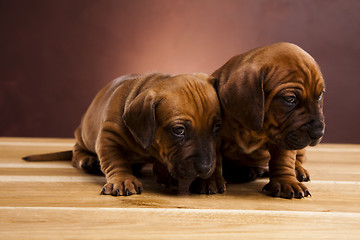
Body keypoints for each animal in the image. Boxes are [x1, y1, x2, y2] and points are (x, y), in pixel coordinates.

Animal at [23, 72, 225, 195]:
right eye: (178, 130)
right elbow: (114, 160)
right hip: (83, 135)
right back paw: (87, 160)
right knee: (76, 152)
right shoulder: (108, 137)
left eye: (217, 128)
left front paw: (211, 178)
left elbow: (217, 156)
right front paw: (122, 180)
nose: (205, 168)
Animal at [212, 42, 324, 199]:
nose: (319, 132)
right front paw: (209, 180)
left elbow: (284, 159)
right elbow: (213, 157)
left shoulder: (285, 135)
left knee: (297, 159)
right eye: (290, 99)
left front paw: (286, 182)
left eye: (320, 96)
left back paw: (297, 170)